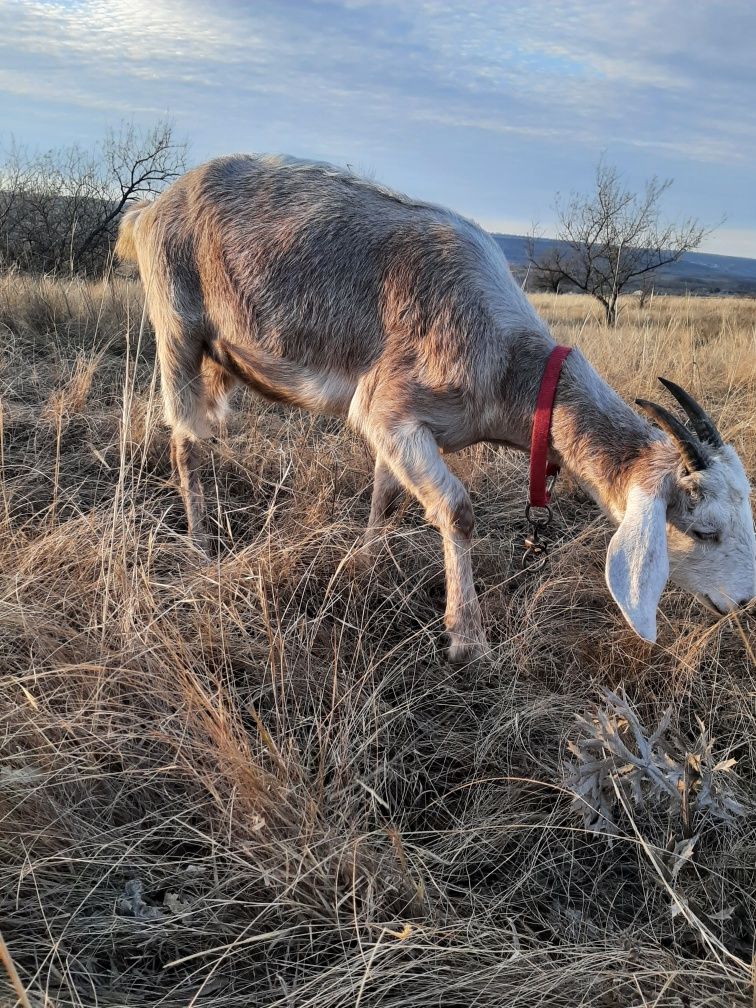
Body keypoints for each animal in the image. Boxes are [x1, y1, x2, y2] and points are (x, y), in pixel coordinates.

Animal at [115, 155, 753, 661]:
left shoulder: (399, 430)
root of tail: (148, 209)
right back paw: (200, 542)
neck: (508, 366)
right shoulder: (387, 409)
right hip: (176, 322)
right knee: (183, 438)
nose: (744, 601)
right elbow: (457, 510)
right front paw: (468, 639)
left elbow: (385, 496)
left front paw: (365, 560)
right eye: (704, 531)